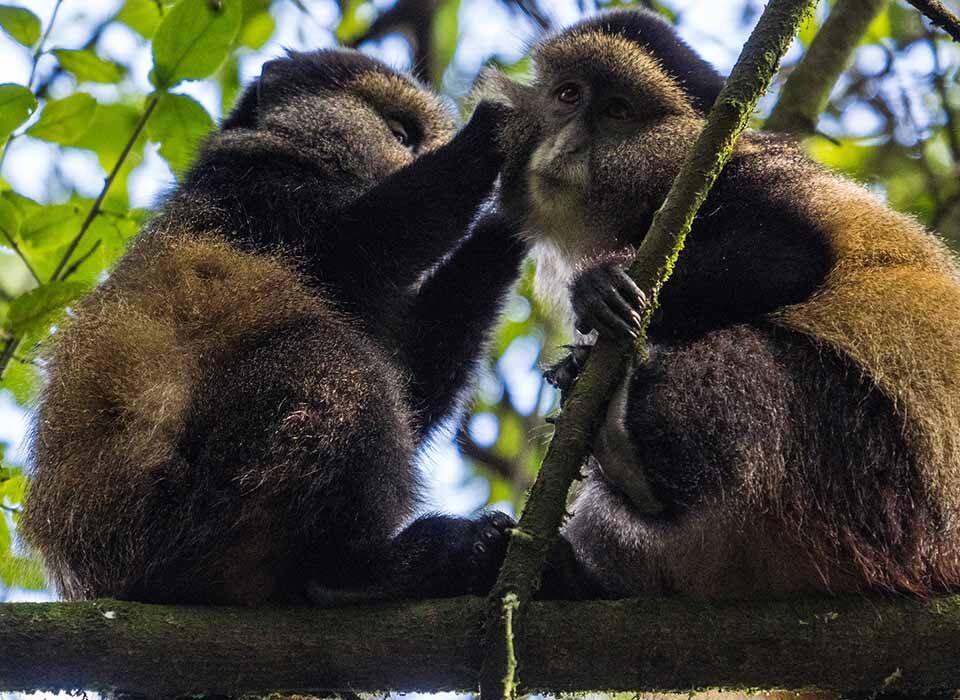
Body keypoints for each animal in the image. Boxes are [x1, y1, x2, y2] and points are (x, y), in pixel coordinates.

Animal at [20, 49, 527, 605]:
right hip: (199, 512)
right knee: (330, 356)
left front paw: (509, 227)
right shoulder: (255, 186)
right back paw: (353, 572)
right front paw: (492, 130)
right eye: (399, 133)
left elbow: (414, 382)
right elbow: (360, 242)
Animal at [482, 8, 960, 600]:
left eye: (617, 111)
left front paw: (599, 289)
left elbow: (789, 255)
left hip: (874, 478)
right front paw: (574, 361)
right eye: (567, 95)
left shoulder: (716, 181)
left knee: (743, 359)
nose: (566, 144)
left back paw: (628, 459)